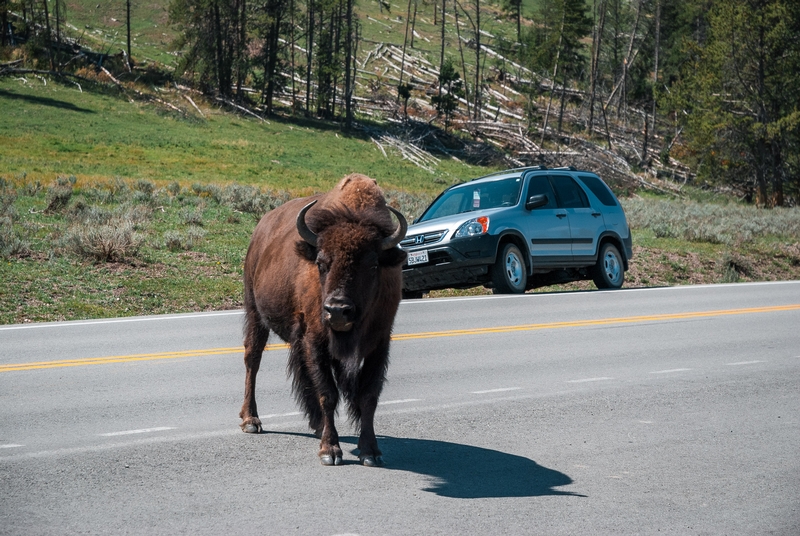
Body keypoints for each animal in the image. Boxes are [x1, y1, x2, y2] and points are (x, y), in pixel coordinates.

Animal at [238, 175, 406, 464]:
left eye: (373, 265)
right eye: (320, 262)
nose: (337, 310)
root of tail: (261, 227)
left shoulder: (379, 342)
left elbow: (368, 395)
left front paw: (371, 452)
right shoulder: (316, 339)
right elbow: (328, 393)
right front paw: (330, 451)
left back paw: (316, 425)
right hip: (255, 312)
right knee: (253, 359)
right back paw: (251, 420)